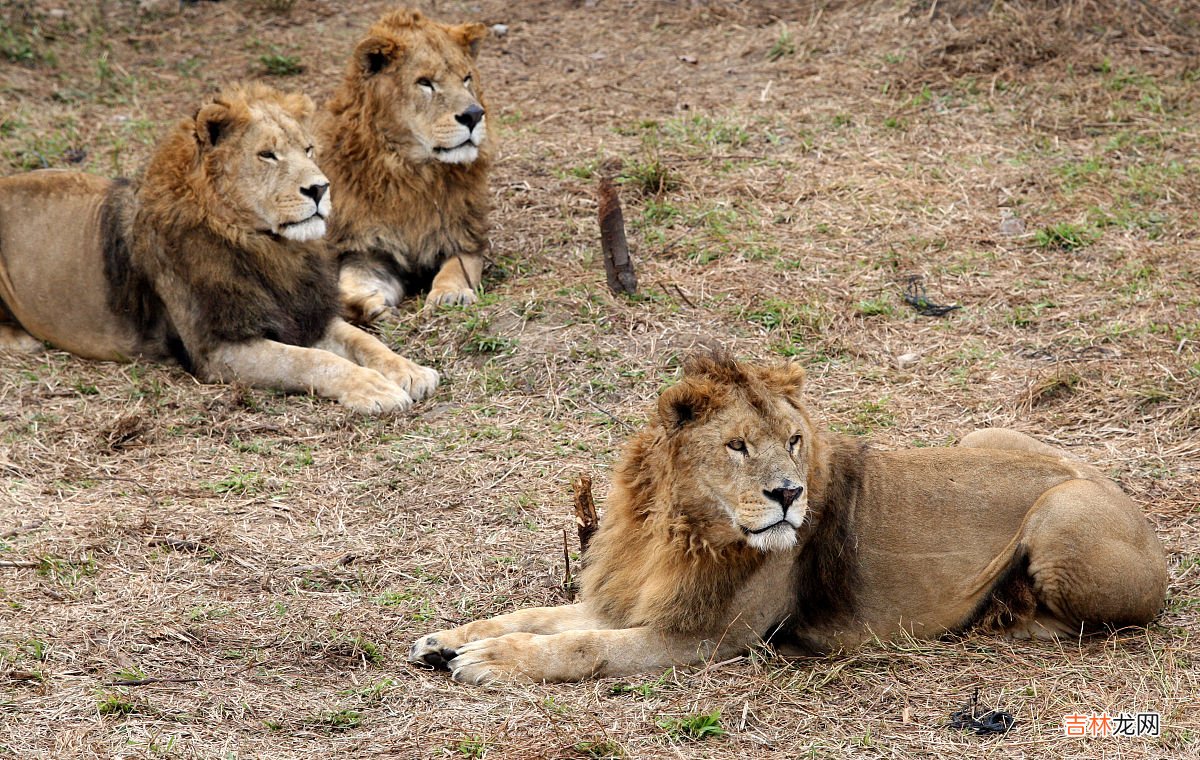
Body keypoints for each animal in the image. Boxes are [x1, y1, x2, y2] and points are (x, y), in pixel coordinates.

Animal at [0, 82, 439, 413]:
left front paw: (409, 370)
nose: (320, 188)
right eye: (267, 154)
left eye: (308, 149)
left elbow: (363, 341)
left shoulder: (301, 313)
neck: (268, 248)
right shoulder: (218, 348)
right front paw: (374, 389)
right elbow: (312, 360)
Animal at [316, 9, 494, 324]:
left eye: (466, 78)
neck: (411, 172)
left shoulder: (465, 238)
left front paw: (450, 295)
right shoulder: (368, 251)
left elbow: (455, 270)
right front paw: (367, 304)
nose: (474, 114)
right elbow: (350, 286)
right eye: (425, 82)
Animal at [410, 355, 1161, 681]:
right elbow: (535, 617)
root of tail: (1129, 499)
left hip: (1063, 510)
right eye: (739, 445)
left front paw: (491, 662)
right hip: (982, 435)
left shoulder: (705, 637)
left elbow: (581, 646)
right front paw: (448, 640)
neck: (676, 528)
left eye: (795, 440)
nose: (788, 494)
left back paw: (1007, 613)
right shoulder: (631, 596)